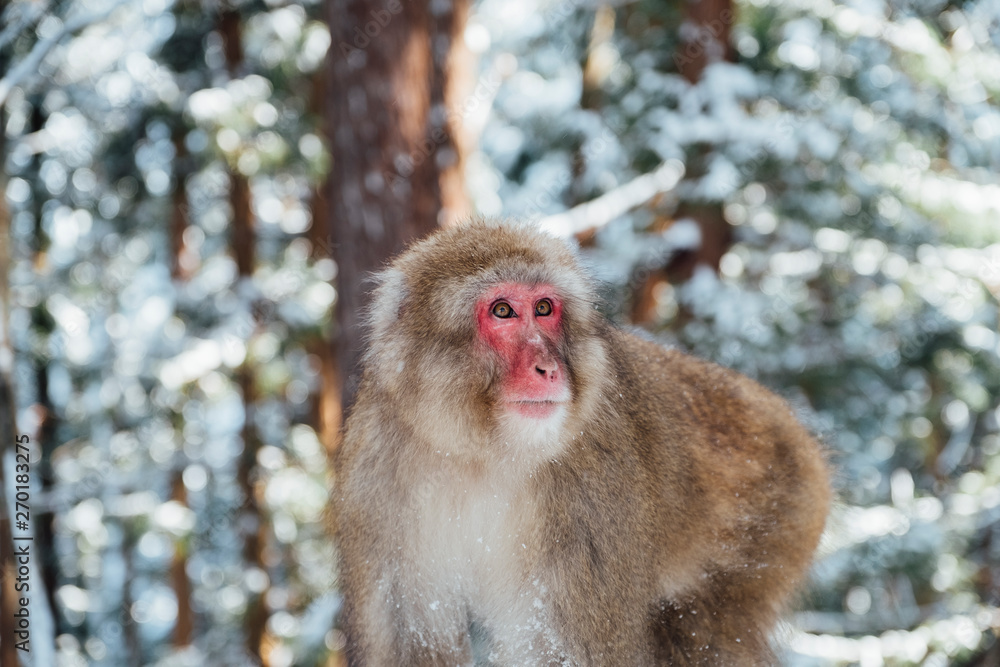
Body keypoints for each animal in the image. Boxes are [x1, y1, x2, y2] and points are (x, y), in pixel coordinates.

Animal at [332, 219, 830, 666]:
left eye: (544, 308)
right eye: (502, 311)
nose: (549, 368)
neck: (484, 454)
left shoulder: (591, 496)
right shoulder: (376, 482)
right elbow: (410, 641)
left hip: (775, 527)